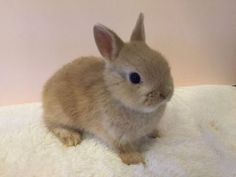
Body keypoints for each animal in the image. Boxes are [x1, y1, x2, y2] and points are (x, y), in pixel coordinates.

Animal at [42, 13, 173, 165]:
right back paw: (72, 137)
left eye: (164, 62)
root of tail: (46, 89)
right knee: (51, 124)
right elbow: (123, 148)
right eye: (134, 78)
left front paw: (157, 133)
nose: (165, 93)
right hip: (60, 113)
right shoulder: (115, 134)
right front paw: (135, 159)